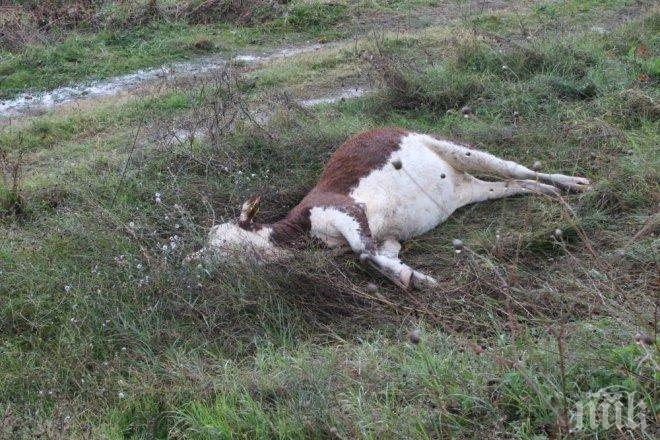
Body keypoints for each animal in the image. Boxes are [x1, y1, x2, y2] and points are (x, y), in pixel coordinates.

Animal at [188, 127, 592, 288]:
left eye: (218, 242)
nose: (193, 260)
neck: (303, 234)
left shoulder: (342, 209)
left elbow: (363, 253)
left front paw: (418, 279)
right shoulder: (388, 239)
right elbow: (375, 257)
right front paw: (409, 276)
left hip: (454, 148)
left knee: (515, 168)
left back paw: (574, 183)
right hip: (473, 188)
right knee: (513, 184)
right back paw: (549, 193)